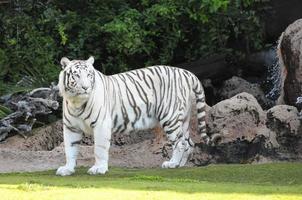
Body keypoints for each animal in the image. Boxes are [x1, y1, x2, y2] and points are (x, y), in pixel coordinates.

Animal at [56, 55, 209, 175]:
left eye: (89, 75)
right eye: (76, 75)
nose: (85, 87)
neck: (76, 102)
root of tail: (185, 72)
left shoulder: (101, 125)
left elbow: (99, 148)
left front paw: (98, 169)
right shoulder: (70, 127)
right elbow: (70, 149)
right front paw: (67, 169)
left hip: (170, 117)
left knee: (180, 143)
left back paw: (172, 164)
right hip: (183, 119)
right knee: (188, 142)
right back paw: (180, 165)